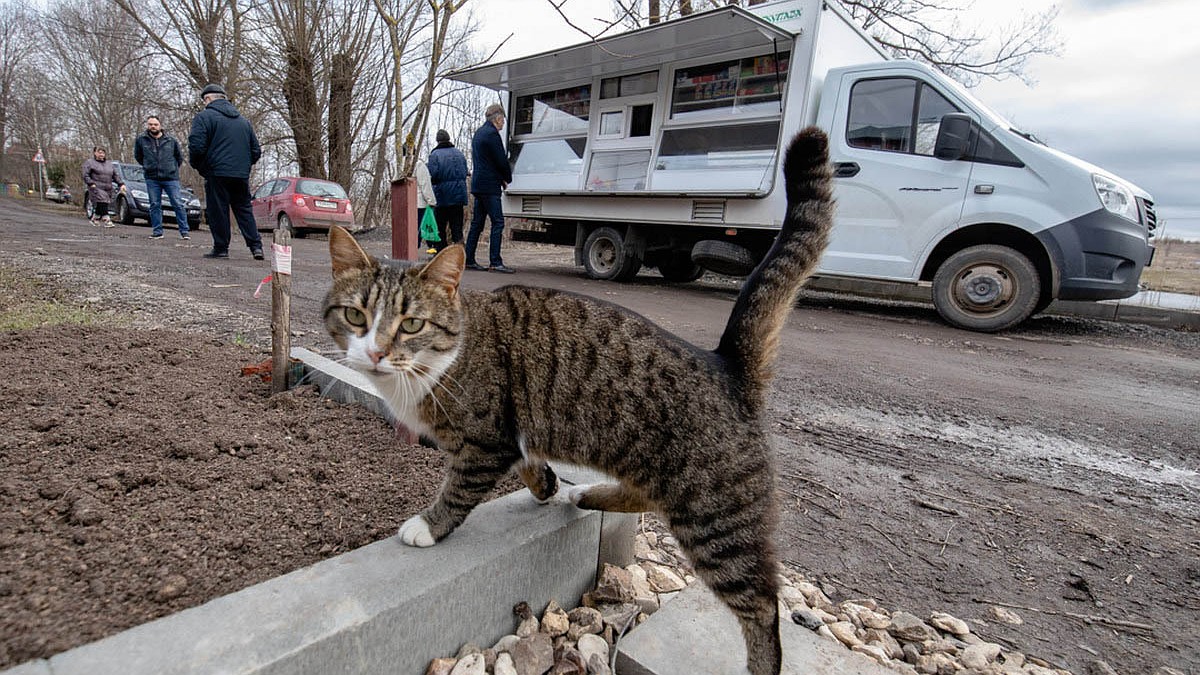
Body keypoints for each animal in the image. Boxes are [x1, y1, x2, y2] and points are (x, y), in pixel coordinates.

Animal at [328, 127, 835, 672]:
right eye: (356, 317)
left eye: (412, 324)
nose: (376, 352)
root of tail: (725, 365)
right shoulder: (513, 435)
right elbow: (529, 462)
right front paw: (547, 484)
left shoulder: (485, 442)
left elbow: (459, 489)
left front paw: (430, 524)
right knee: (646, 494)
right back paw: (586, 494)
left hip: (714, 518)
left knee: (761, 607)